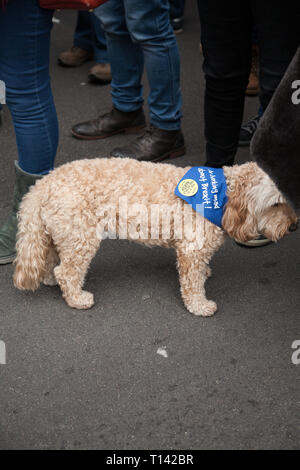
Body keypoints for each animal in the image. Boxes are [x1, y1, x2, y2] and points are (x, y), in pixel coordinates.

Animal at [12, 158, 296, 316]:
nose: (294, 226)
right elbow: (192, 284)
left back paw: (50, 279)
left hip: (60, 232)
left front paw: (205, 274)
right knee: (67, 272)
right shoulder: (191, 249)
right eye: (276, 204)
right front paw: (199, 306)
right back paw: (77, 298)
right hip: (81, 236)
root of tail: (41, 185)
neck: (222, 195)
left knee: (52, 260)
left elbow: (200, 271)